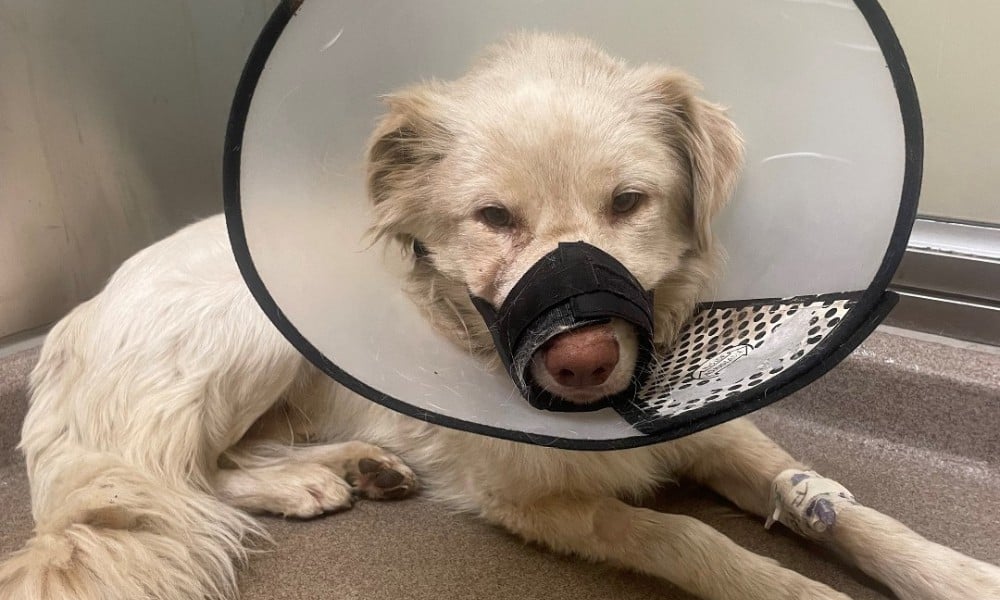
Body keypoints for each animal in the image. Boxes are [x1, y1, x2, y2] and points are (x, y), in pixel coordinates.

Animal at [1, 31, 1000, 600]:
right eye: (491, 218)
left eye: (628, 202)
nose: (585, 361)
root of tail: (67, 324)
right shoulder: (537, 499)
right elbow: (684, 534)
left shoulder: (706, 424)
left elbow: (836, 504)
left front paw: (953, 570)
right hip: (242, 335)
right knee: (185, 475)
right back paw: (311, 482)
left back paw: (352, 468)